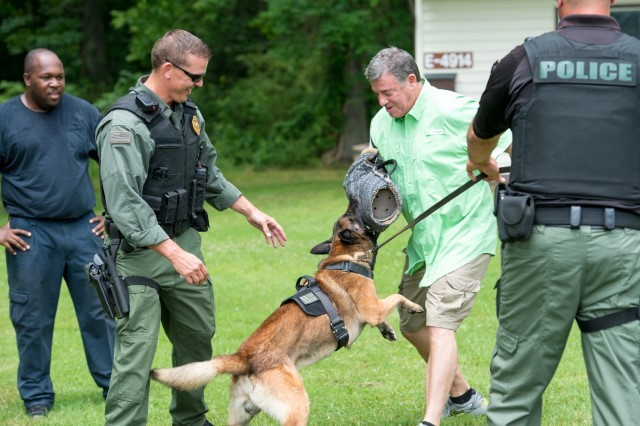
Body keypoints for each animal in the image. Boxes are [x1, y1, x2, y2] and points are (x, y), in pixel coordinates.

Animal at [149, 201, 420, 424]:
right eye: (351, 215)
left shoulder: (373, 309)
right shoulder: (372, 307)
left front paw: (388, 329)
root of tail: (244, 357)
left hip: (240, 417)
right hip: (297, 406)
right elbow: (396, 298)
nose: (354, 203)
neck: (344, 256)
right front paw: (414, 306)